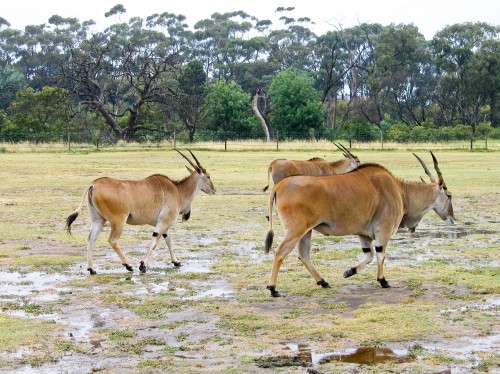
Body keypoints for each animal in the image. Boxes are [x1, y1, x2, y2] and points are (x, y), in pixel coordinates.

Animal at [66, 149, 215, 274]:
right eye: (208, 176)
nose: (214, 190)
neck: (177, 191)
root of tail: (93, 185)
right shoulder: (163, 223)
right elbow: (155, 241)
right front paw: (142, 265)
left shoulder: (164, 225)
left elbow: (169, 241)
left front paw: (176, 262)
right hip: (118, 221)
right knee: (112, 240)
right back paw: (128, 265)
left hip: (98, 220)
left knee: (91, 239)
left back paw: (91, 269)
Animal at [264, 150, 456, 296]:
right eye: (449, 195)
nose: (452, 217)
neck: (399, 191)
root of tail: (279, 185)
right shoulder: (382, 231)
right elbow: (380, 254)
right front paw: (383, 281)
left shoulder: (364, 235)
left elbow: (369, 255)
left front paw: (349, 272)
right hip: (296, 230)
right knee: (280, 252)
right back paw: (273, 289)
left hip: (306, 231)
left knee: (304, 255)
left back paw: (323, 282)